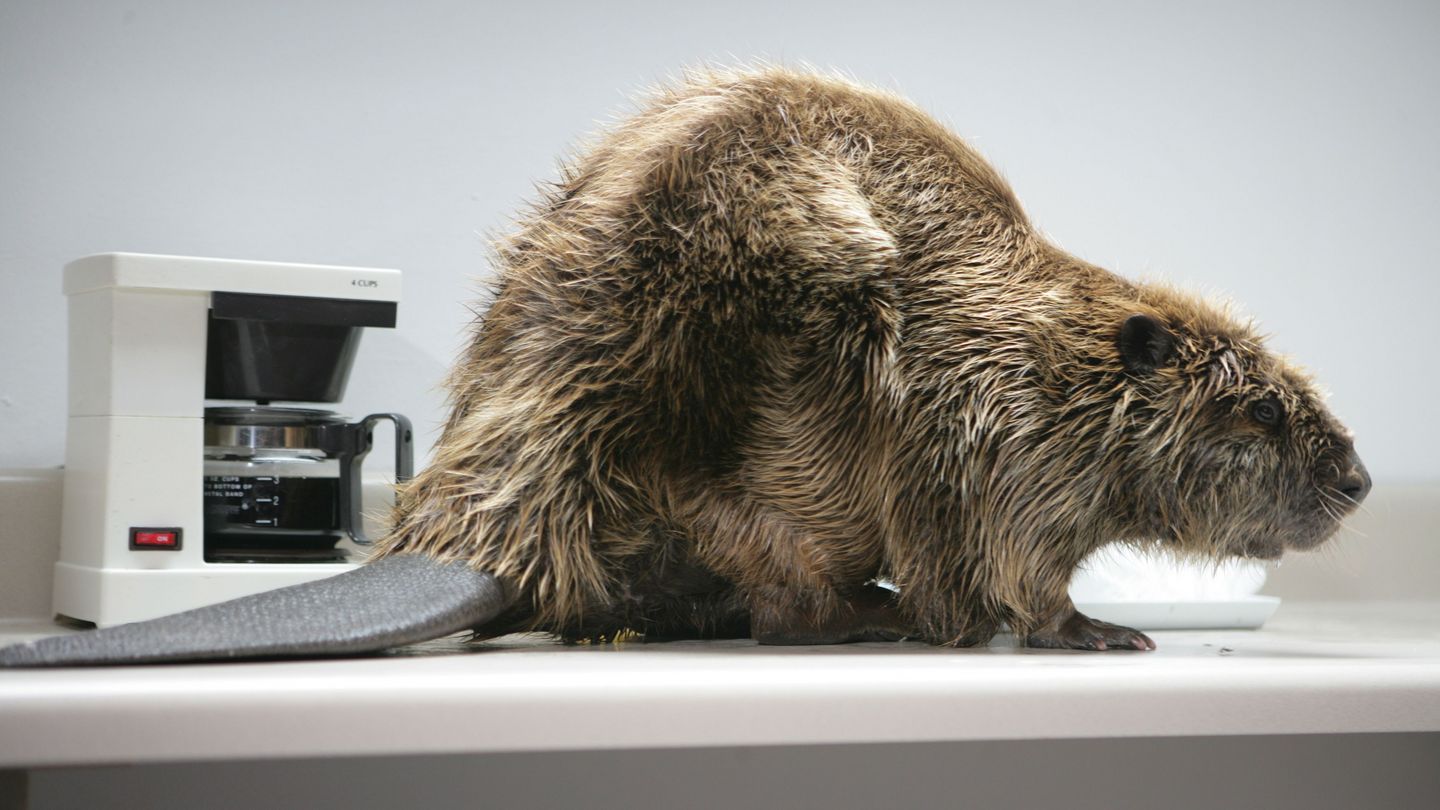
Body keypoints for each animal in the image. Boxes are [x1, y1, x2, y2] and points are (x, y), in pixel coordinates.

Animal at [2, 67, 1370, 662]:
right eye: (1263, 411)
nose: (1356, 480)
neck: (1040, 345)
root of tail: (472, 544)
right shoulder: (1002, 440)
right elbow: (1015, 568)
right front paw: (1101, 631)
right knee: (783, 604)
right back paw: (869, 613)